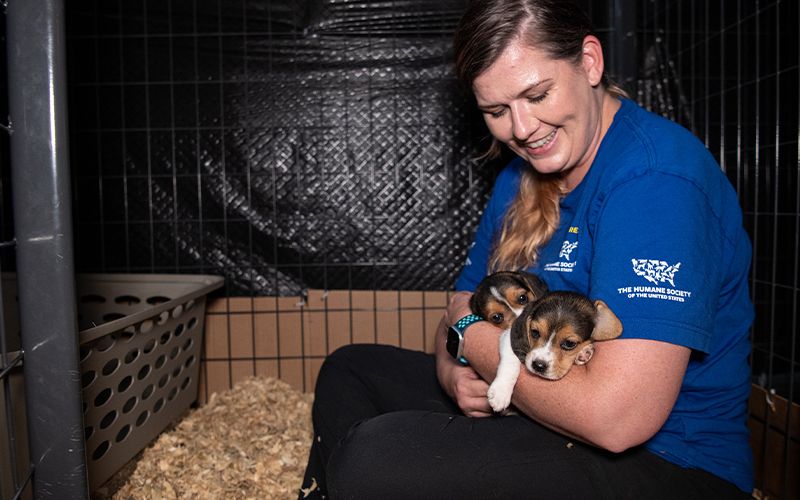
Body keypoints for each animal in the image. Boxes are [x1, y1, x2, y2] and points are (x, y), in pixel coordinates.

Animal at [482, 288, 624, 412]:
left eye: (569, 343)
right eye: (534, 332)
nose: (538, 366)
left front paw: (585, 351)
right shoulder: (508, 336)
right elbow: (510, 361)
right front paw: (500, 392)